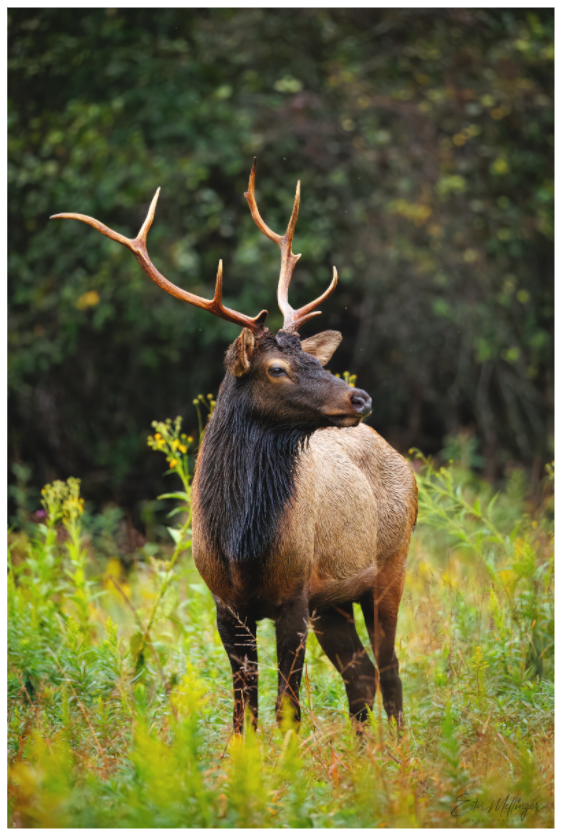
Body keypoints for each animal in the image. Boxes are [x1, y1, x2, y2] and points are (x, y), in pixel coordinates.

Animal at [51, 160, 418, 735]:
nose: (360, 396)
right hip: (334, 600)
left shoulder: (293, 595)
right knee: (361, 672)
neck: (243, 543)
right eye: (278, 368)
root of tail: (406, 466)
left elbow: (287, 708)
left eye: (312, 359)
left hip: (391, 566)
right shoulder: (227, 603)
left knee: (390, 669)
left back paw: (398, 752)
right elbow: (243, 710)